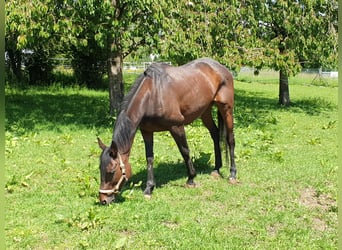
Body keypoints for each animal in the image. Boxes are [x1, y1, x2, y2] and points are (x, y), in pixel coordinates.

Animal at [97, 58, 236, 205]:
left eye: (112, 171)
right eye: (100, 168)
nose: (103, 199)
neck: (153, 94)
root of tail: (221, 68)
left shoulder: (177, 126)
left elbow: (185, 151)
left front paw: (191, 179)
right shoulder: (146, 131)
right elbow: (149, 158)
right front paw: (149, 188)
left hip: (226, 108)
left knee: (230, 139)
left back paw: (232, 174)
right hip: (205, 111)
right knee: (215, 134)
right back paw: (216, 169)